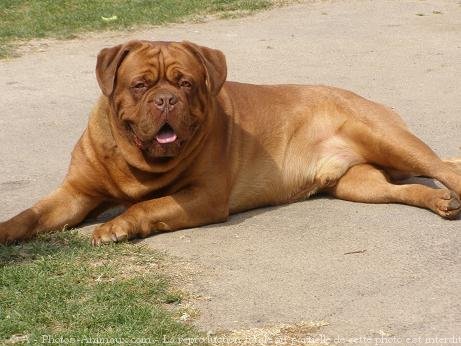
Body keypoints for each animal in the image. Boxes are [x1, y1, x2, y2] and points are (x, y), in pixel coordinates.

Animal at [0, 41, 460, 246]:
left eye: (185, 83)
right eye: (140, 85)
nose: (166, 99)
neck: (137, 164)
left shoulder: (203, 196)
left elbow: (146, 206)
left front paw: (116, 225)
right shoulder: (76, 193)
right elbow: (30, 214)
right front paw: (6, 230)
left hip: (386, 137)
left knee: (441, 167)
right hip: (356, 184)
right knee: (404, 189)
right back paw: (440, 202)